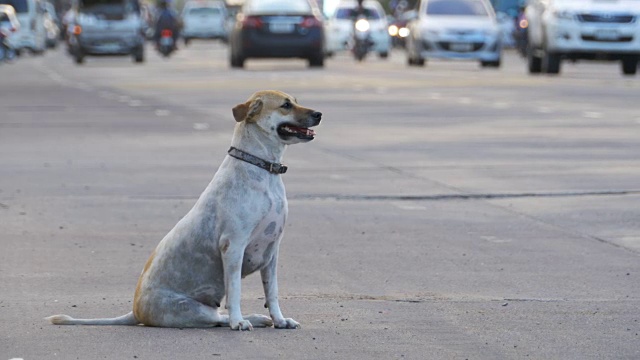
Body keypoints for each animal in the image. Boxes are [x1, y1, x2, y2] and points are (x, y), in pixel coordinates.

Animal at [47, 90, 322, 332]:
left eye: (295, 100)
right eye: (286, 105)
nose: (319, 114)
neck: (262, 169)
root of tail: (135, 311)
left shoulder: (272, 251)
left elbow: (272, 292)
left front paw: (280, 320)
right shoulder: (233, 246)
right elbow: (235, 292)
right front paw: (239, 322)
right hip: (193, 309)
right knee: (218, 319)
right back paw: (246, 319)